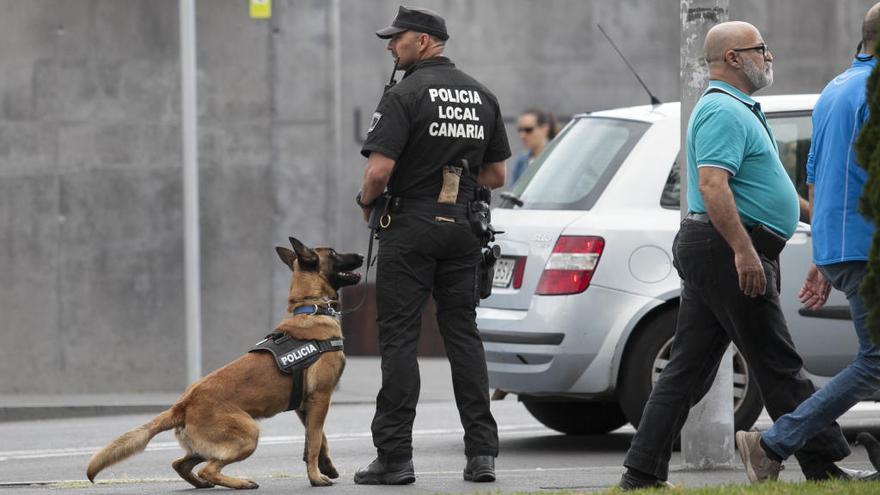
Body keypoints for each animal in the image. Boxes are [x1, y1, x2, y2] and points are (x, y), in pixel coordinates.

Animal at [87, 236, 364, 488]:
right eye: (334, 252)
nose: (362, 256)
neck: (313, 307)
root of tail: (182, 405)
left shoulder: (305, 405)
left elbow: (318, 439)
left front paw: (326, 467)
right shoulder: (321, 398)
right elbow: (315, 441)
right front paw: (316, 477)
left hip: (206, 446)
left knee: (181, 464)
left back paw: (202, 484)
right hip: (249, 434)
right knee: (207, 468)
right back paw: (240, 482)